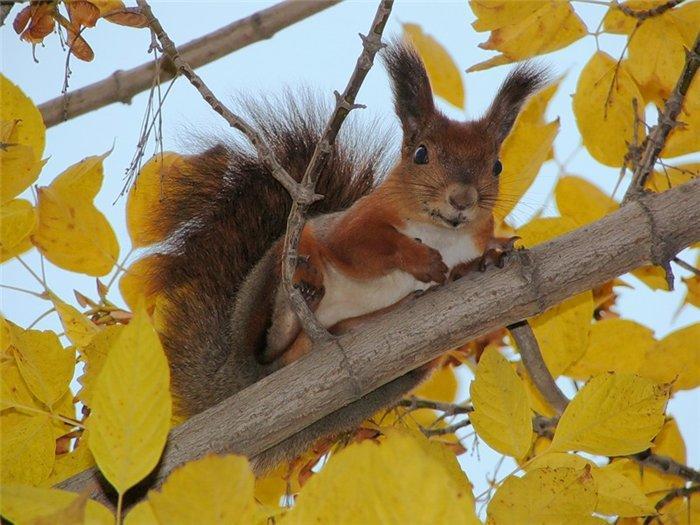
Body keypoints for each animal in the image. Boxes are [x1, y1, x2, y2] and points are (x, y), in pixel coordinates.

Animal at [141, 43, 548, 472]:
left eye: (496, 165)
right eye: (421, 154)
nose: (462, 199)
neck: (443, 232)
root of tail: (238, 379)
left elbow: (469, 260)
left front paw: (488, 257)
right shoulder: (351, 228)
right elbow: (369, 246)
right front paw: (421, 259)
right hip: (276, 265)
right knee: (270, 344)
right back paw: (299, 306)